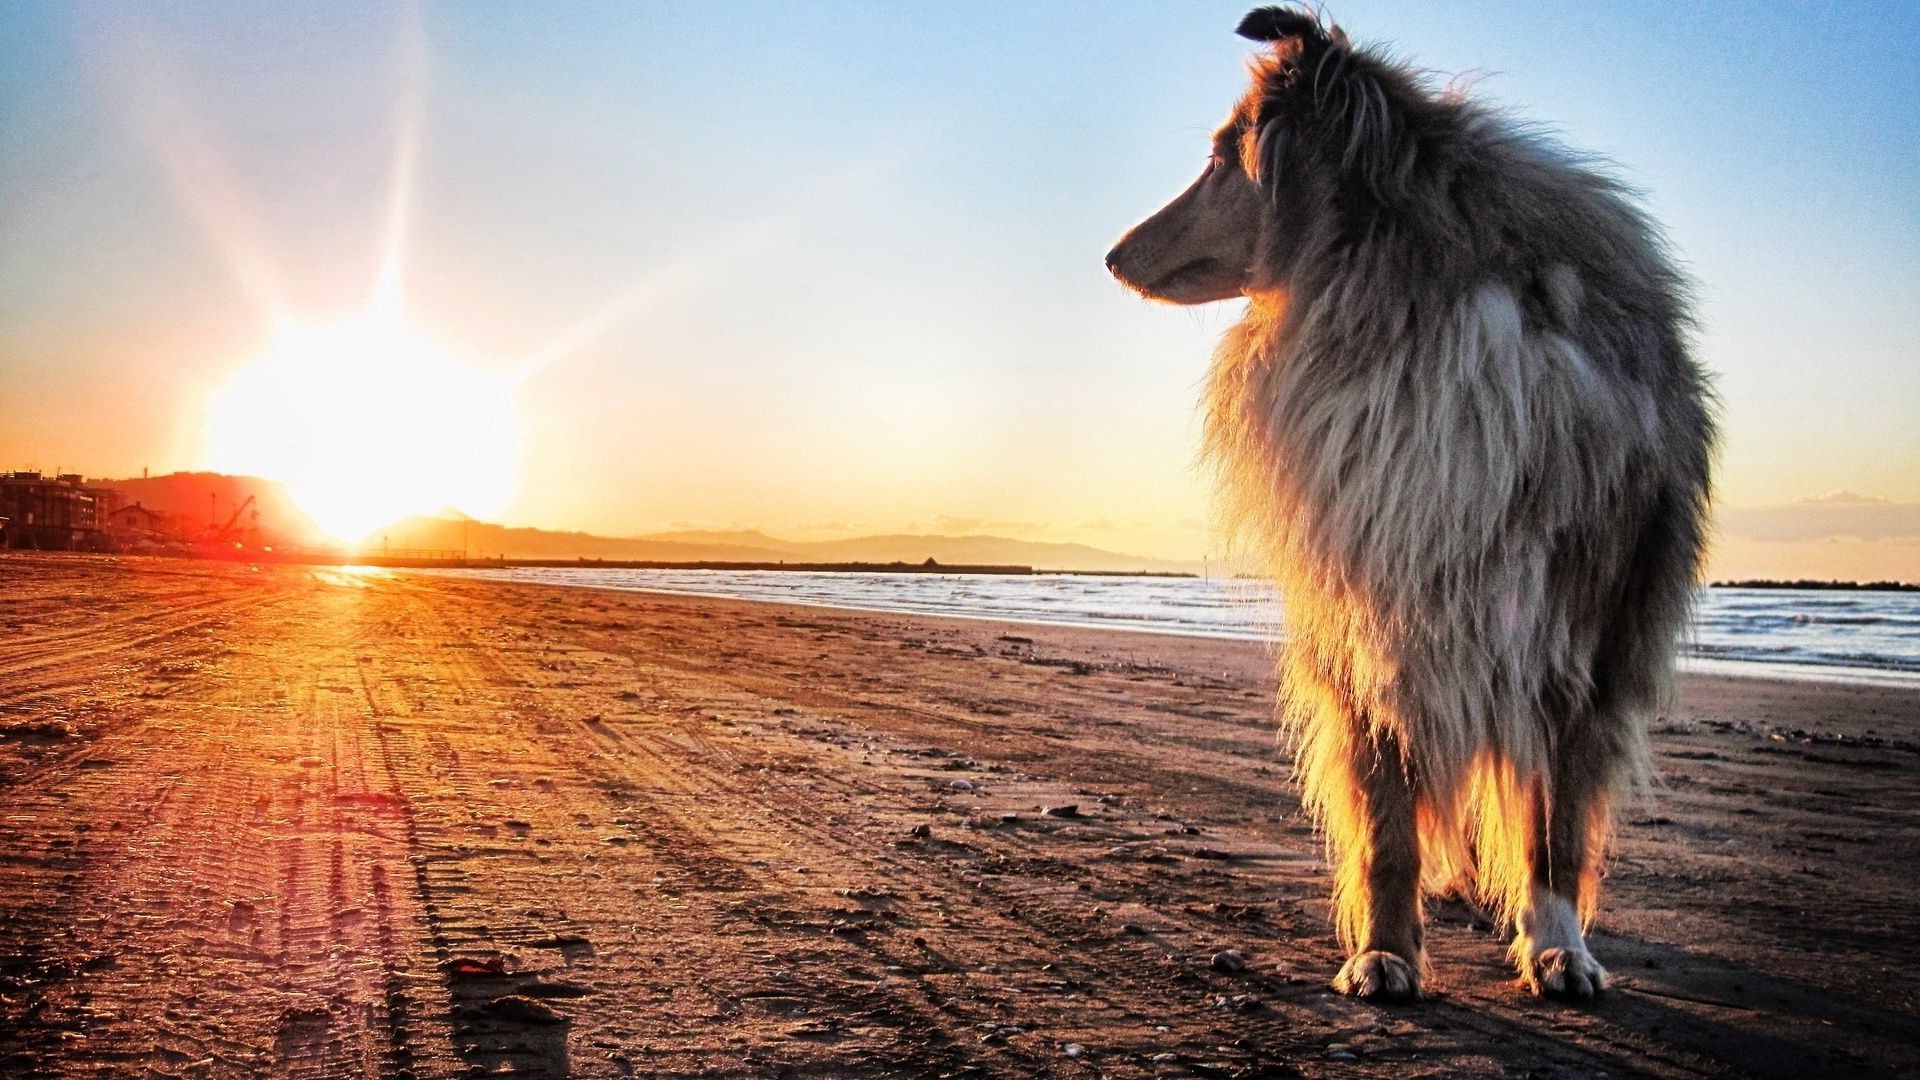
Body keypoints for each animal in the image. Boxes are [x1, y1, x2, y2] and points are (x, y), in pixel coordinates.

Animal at [1105, 8, 1720, 999]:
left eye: (1224, 156)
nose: (1114, 255)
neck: (1399, 318)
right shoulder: (1373, 617)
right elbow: (1388, 820)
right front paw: (1384, 952)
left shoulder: (1572, 638)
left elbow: (1554, 824)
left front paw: (1558, 947)